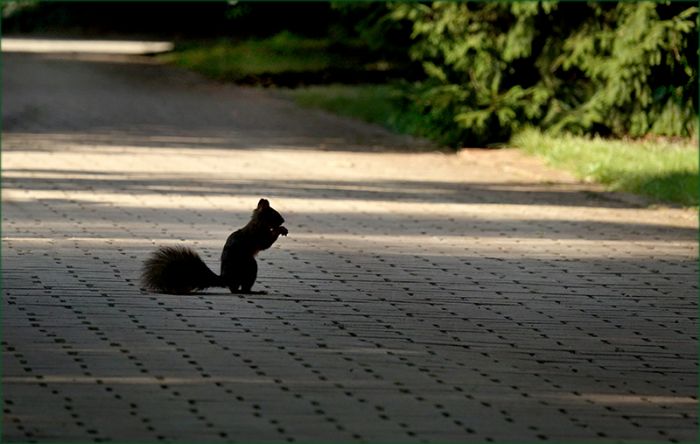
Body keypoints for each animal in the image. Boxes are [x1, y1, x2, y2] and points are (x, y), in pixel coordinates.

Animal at [141, 198, 288, 295]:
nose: (283, 220)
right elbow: (265, 243)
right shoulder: (257, 234)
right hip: (249, 267)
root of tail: (226, 279)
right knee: (238, 289)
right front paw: (280, 229)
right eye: (274, 214)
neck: (259, 222)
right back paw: (252, 292)